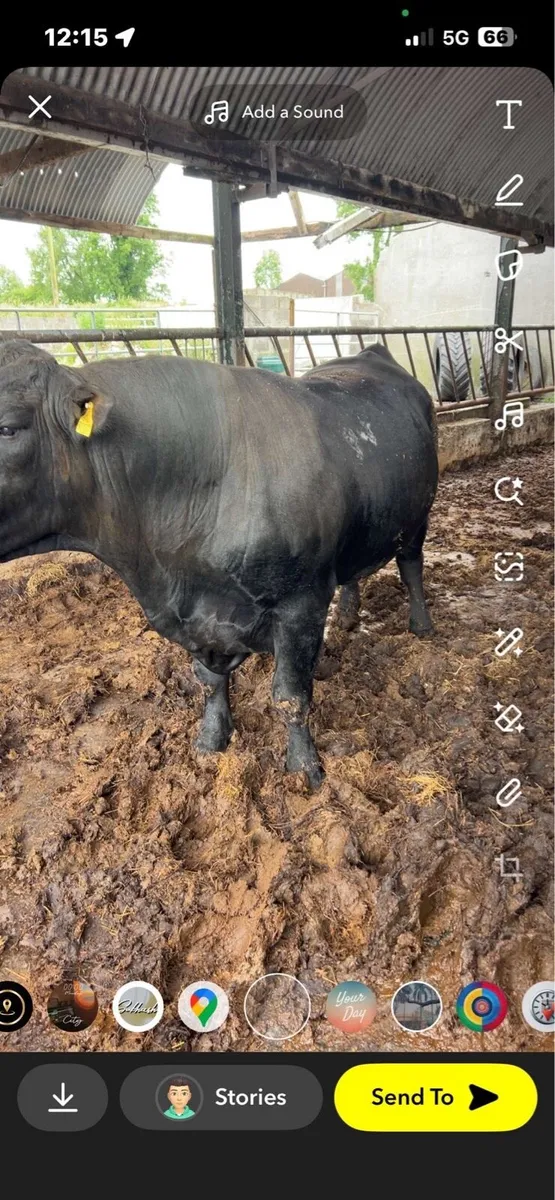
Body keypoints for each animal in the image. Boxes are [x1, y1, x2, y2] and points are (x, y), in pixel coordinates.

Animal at [0, 338, 438, 789]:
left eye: (7, 427)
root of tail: (372, 353)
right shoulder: (196, 620)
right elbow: (210, 684)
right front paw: (211, 740)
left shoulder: (301, 605)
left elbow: (291, 697)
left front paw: (305, 770)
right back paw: (348, 616)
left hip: (418, 516)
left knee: (411, 566)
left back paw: (421, 625)